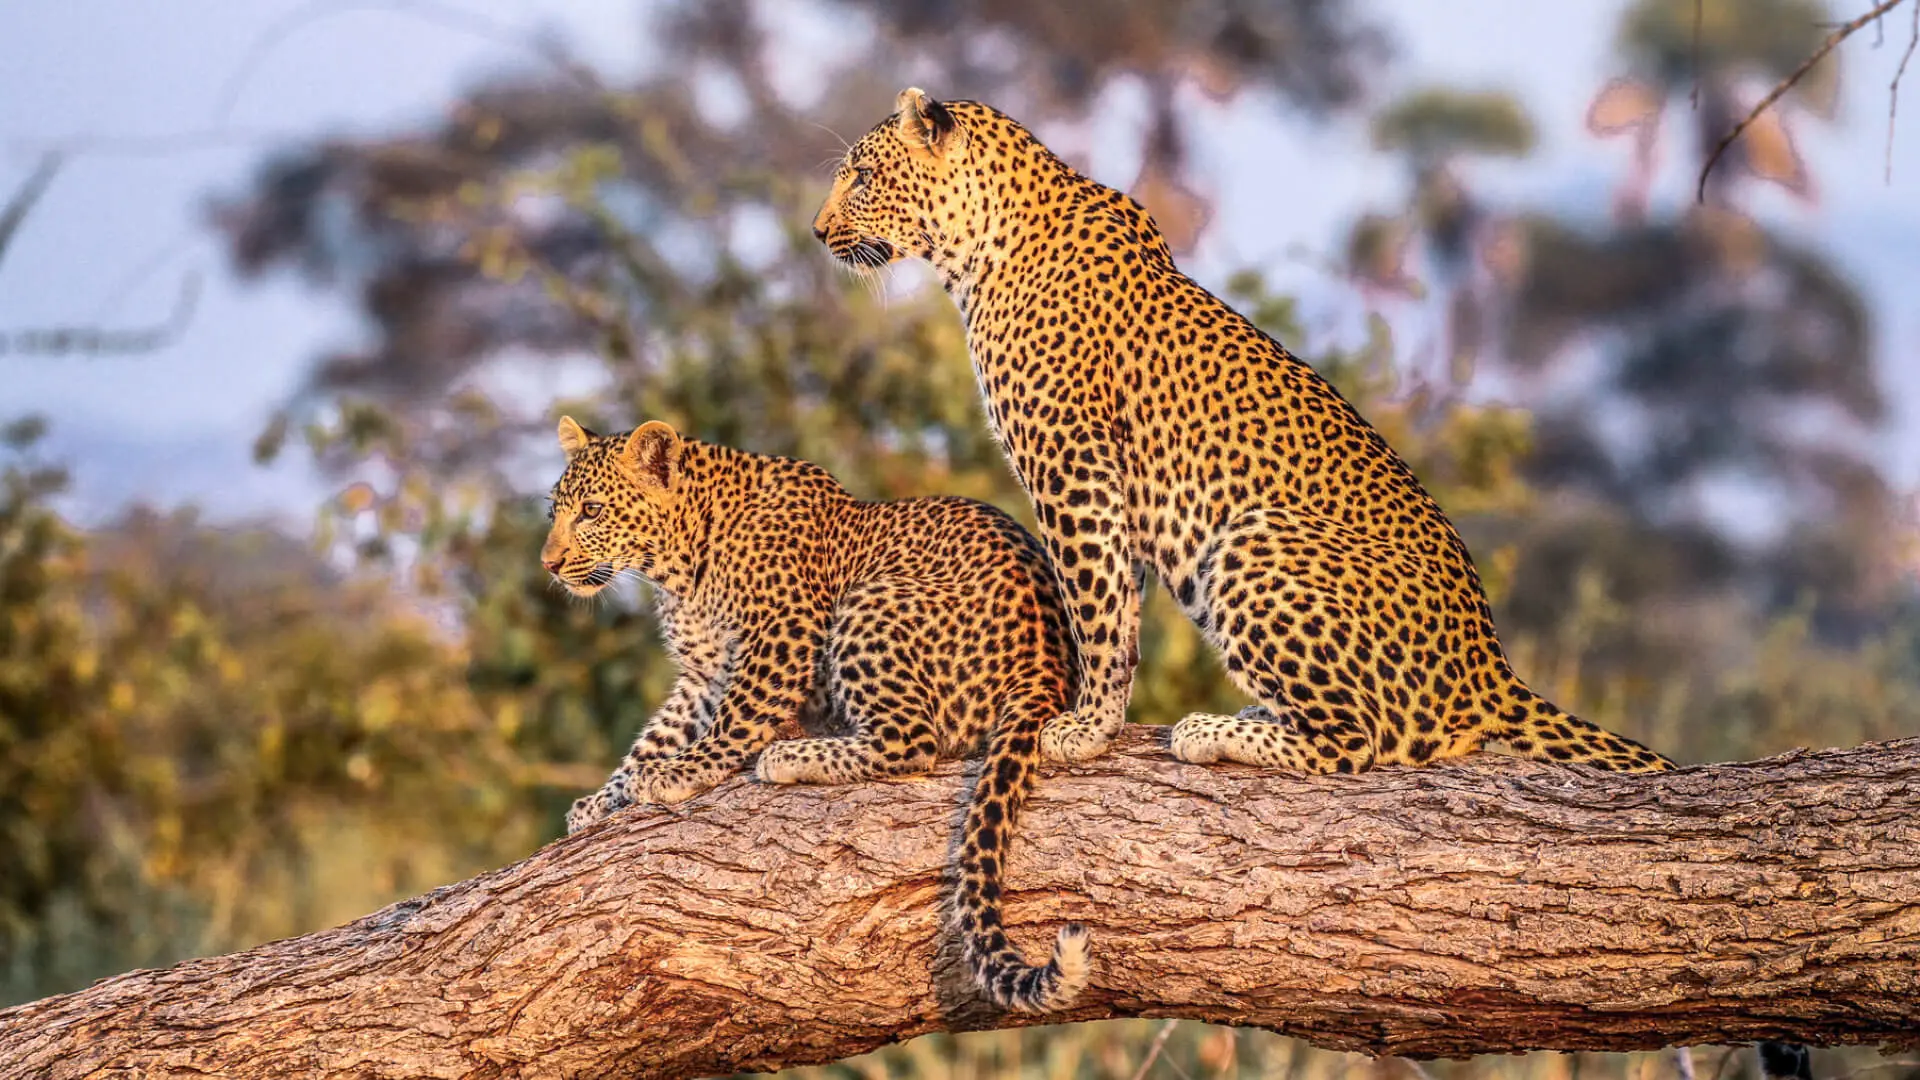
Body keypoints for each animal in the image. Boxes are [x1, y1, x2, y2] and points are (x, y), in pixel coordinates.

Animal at [543, 415, 1089, 1012]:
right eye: (554, 512)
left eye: (592, 510)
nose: (549, 563)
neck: (678, 565)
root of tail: (1046, 669)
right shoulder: (703, 676)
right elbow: (657, 736)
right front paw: (604, 799)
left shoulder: (783, 631)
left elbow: (733, 719)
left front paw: (677, 774)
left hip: (873, 602)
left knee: (911, 741)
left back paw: (790, 756)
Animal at [811, 88, 1675, 782]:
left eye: (861, 175)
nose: (818, 232)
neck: (978, 248)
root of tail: (1492, 668)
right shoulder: (1106, 484)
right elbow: (1119, 600)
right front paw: (1098, 721)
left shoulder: (1071, 465)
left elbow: (1096, 606)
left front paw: (1084, 728)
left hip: (1256, 538)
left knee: (1356, 743)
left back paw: (1214, 732)